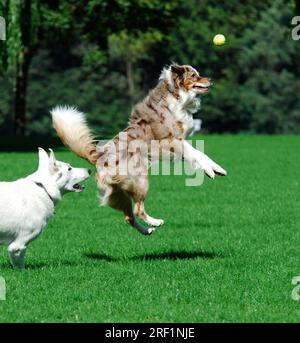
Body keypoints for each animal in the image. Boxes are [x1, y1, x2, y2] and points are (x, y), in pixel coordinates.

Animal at [51, 64, 226, 235]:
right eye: (194, 76)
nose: (211, 79)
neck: (176, 96)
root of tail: (100, 156)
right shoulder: (171, 141)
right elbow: (198, 153)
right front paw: (210, 171)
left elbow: (198, 155)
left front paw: (218, 169)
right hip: (141, 180)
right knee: (138, 210)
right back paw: (156, 222)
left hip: (119, 193)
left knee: (129, 217)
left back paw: (147, 230)